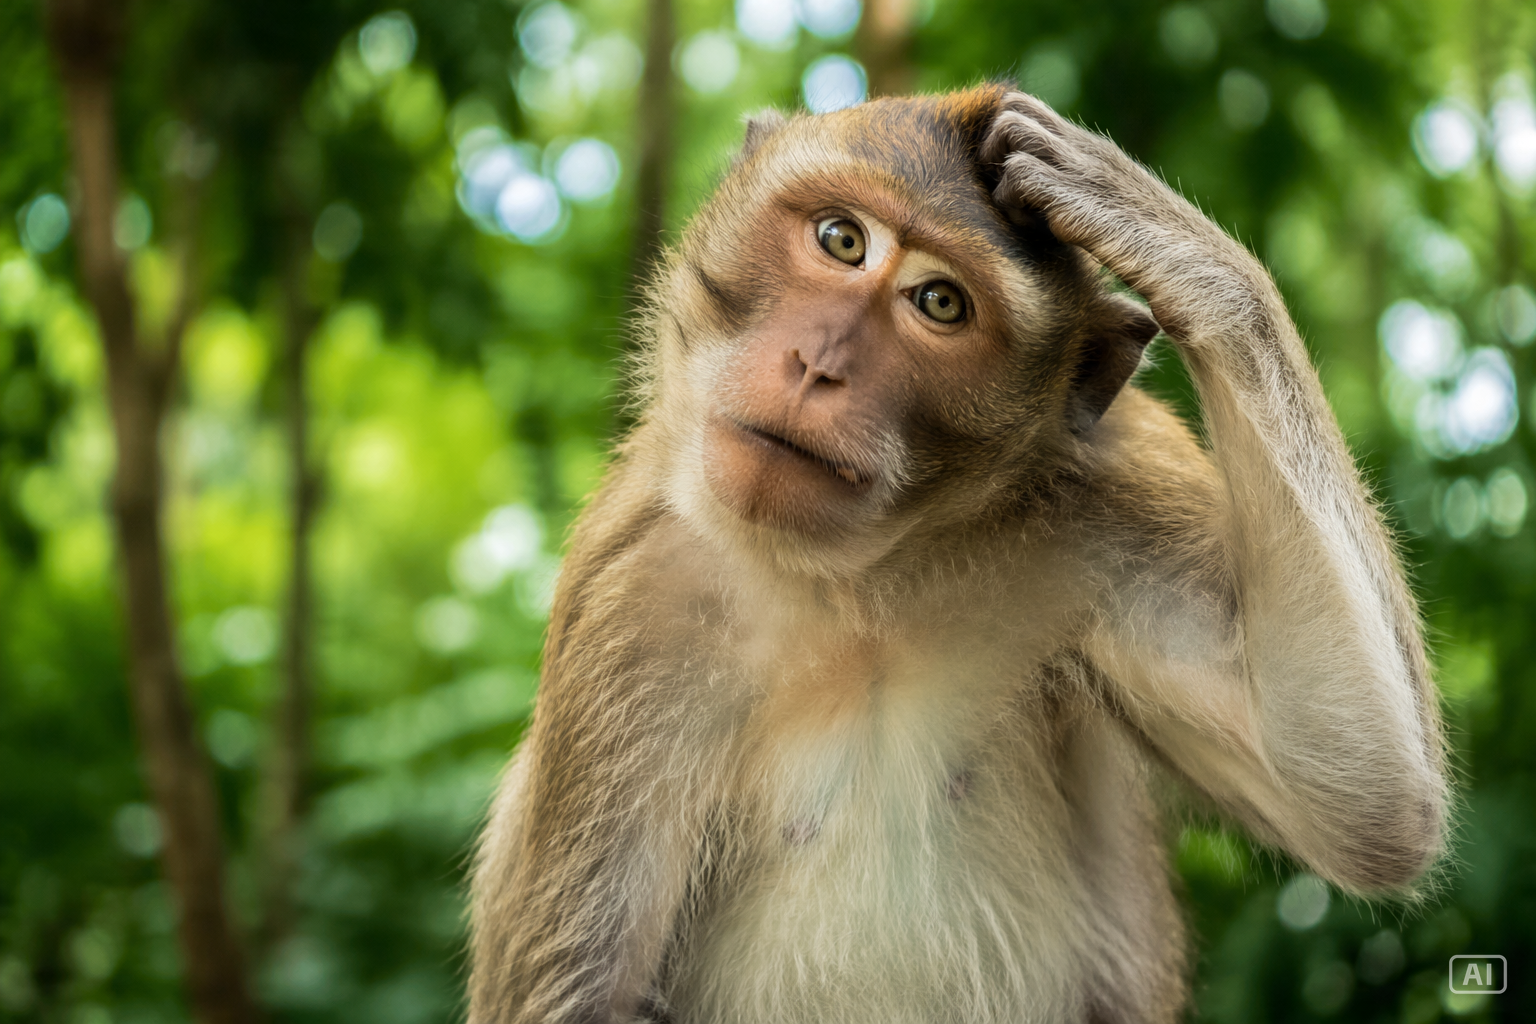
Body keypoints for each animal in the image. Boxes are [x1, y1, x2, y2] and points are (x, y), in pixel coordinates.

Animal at [468, 85, 1448, 1024]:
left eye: (940, 302)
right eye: (841, 239)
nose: (819, 363)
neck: (857, 584)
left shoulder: (1116, 500)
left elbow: (1360, 799)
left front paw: (1162, 230)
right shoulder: (632, 599)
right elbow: (583, 992)